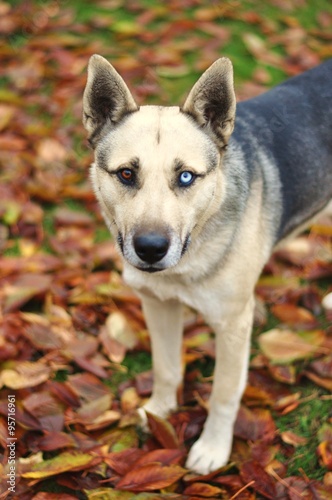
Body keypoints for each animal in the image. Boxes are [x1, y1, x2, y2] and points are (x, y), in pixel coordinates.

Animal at [83, 54, 332, 472]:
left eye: (186, 177)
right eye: (126, 174)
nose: (150, 248)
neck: (188, 261)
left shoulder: (233, 326)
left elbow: (224, 394)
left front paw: (214, 448)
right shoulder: (158, 304)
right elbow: (167, 368)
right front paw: (160, 412)